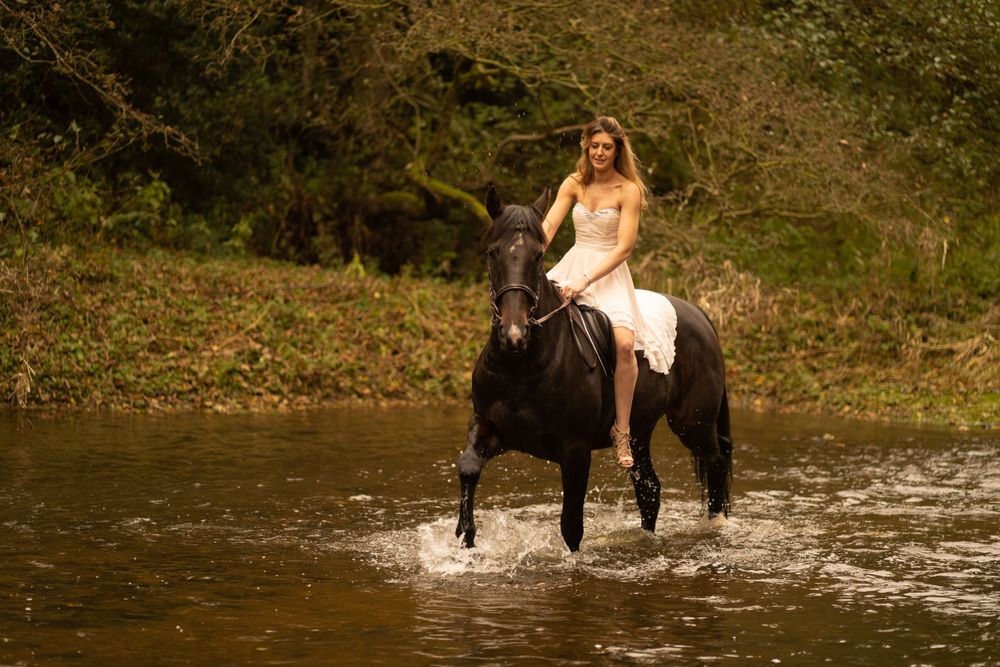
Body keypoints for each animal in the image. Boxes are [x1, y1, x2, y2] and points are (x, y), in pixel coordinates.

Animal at [456, 186, 733, 552]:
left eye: (538, 256)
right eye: (492, 253)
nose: (514, 334)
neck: (523, 365)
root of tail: (699, 313)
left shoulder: (575, 450)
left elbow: (571, 524)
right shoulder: (490, 427)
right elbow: (468, 466)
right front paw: (466, 535)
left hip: (693, 424)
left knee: (714, 466)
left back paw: (715, 527)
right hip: (640, 432)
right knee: (650, 491)